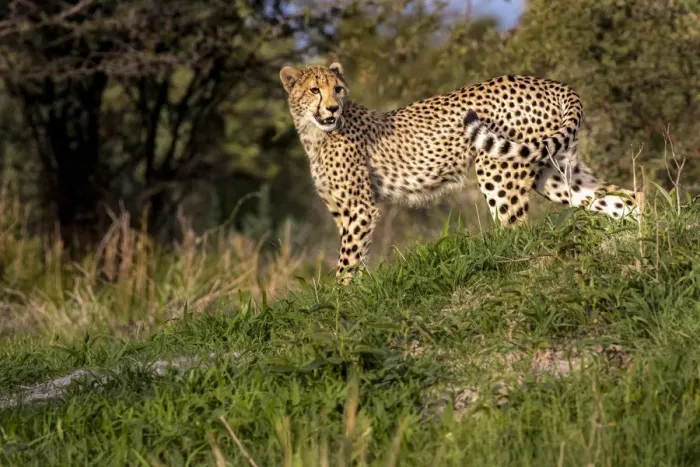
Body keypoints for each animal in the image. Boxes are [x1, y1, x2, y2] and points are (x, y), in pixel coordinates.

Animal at [279, 62, 641, 283]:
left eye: (338, 89)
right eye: (314, 90)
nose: (332, 107)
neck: (315, 133)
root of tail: (545, 81)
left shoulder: (359, 209)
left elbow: (348, 260)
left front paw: (339, 302)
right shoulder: (343, 212)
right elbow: (354, 256)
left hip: (498, 167)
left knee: (518, 230)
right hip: (554, 170)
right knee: (626, 197)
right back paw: (637, 243)